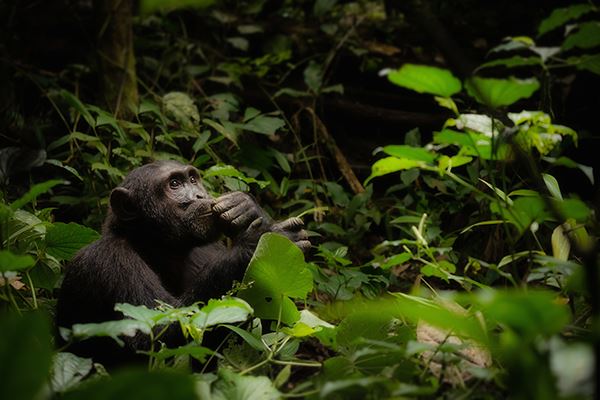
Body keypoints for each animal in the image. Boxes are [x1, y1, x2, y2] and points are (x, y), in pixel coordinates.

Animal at [54, 161, 310, 368]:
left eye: (193, 179)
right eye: (175, 184)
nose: (199, 195)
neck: (159, 246)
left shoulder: (208, 249)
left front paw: (245, 206)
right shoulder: (108, 261)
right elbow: (154, 332)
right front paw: (261, 241)